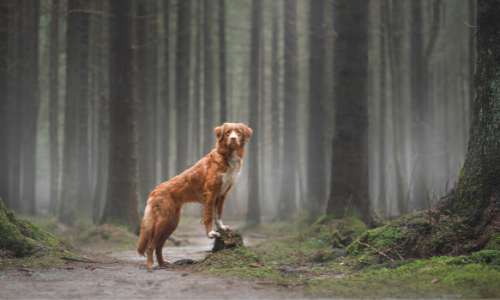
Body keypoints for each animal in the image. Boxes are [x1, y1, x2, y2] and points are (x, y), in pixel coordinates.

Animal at [137, 122, 252, 268]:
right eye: (227, 132)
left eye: (238, 132)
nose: (233, 139)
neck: (226, 157)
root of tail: (155, 189)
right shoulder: (210, 193)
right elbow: (209, 216)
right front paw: (211, 233)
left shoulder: (222, 194)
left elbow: (218, 214)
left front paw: (221, 227)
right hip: (162, 220)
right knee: (151, 244)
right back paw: (151, 264)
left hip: (172, 223)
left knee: (159, 245)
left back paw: (163, 263)